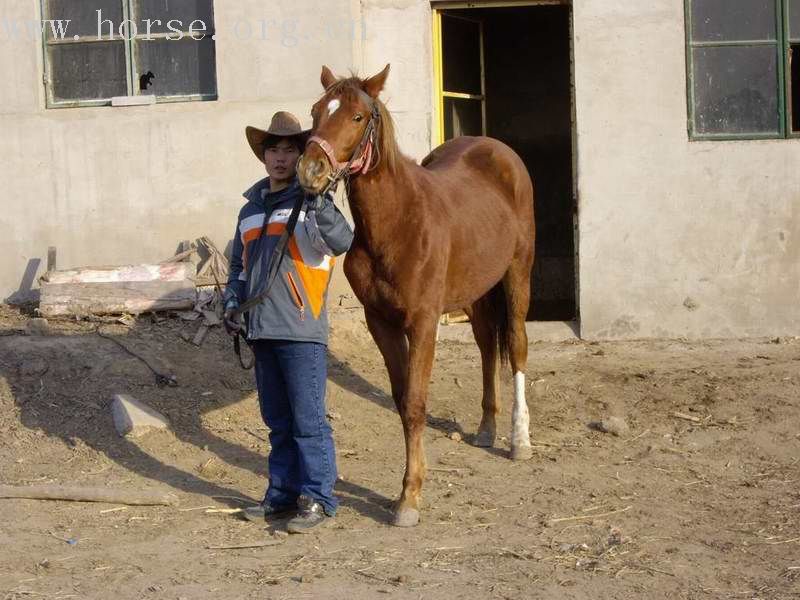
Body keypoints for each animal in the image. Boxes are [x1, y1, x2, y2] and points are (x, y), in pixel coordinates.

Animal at [296, 63, 536, 528]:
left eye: (357, 117)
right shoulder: (380, 322)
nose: (310, 171)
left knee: (515, 345)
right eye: (316, 110)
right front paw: (406, 492)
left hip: (517, 274)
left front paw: (409, 498)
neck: (397, 223)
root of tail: (499, 152)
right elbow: (400, 398)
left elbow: (415, 403)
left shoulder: (423, 322)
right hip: (476, 290)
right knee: (486, 346)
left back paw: (519, 440)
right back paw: (486, 428)